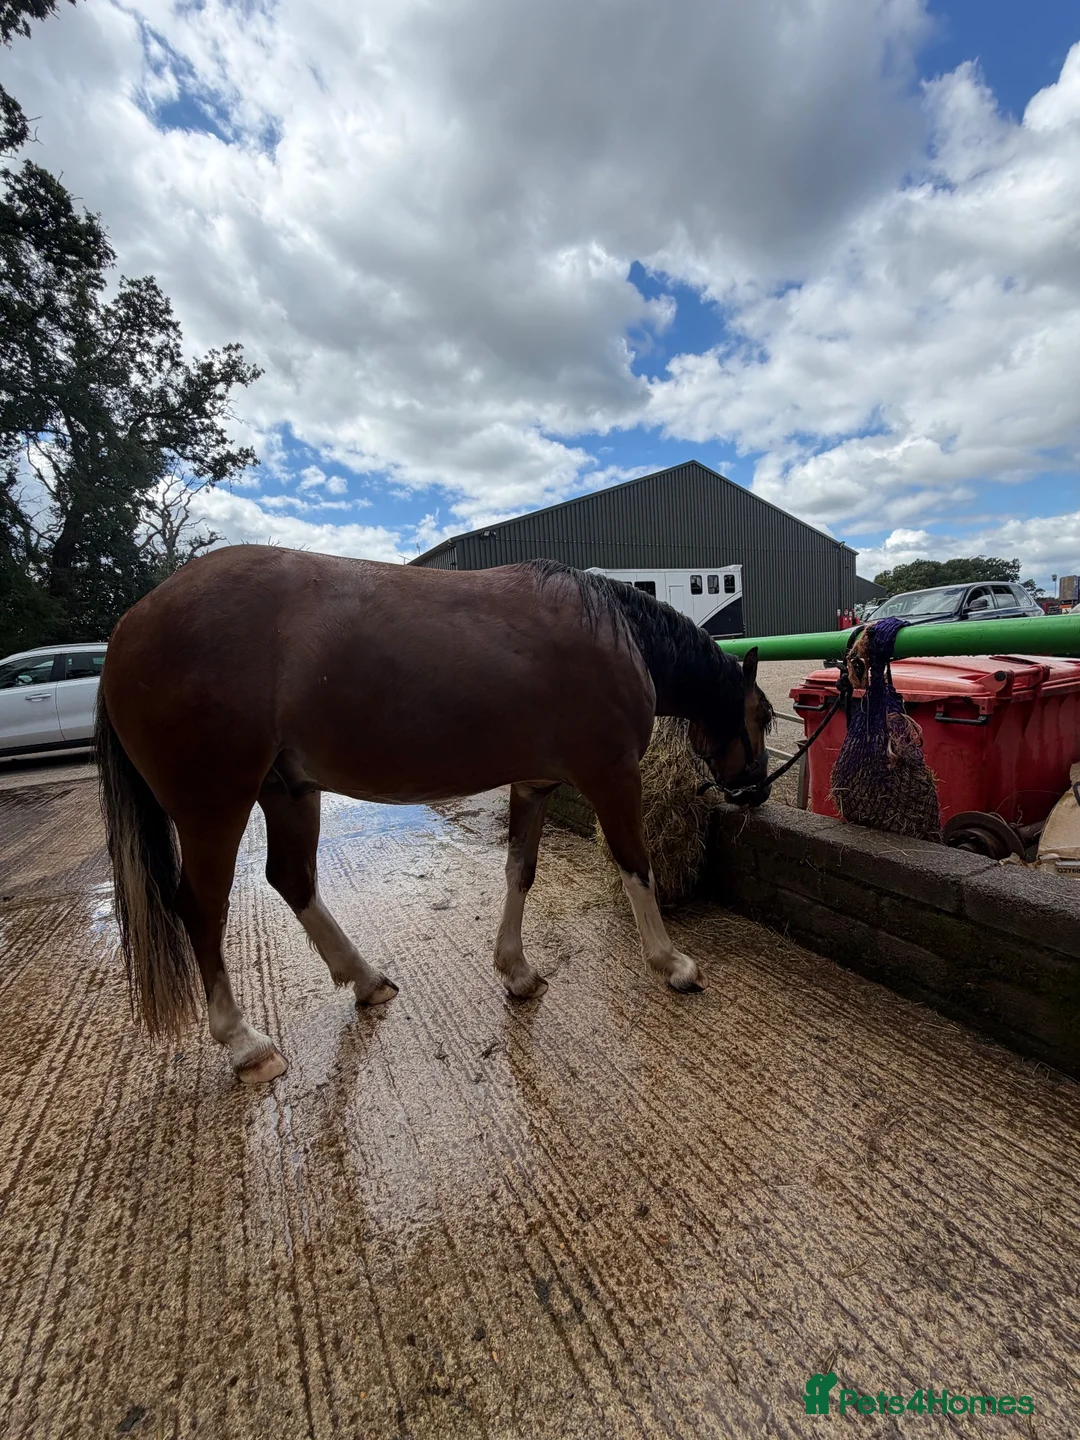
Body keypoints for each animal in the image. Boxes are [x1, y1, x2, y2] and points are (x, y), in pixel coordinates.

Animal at [95, 547, 773, 1083]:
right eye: (763, 717)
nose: (756, 790)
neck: (613, 633)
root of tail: (128, 627)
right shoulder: (611, 777)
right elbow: (637, 867)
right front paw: (673, 965)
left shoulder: (534, 784)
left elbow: (520, 871)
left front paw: (517, 972)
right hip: (215, 806)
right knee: (202, 908)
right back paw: (245, 1044)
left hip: (288, 791)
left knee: (292, 879)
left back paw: (366, 980)